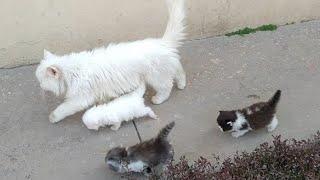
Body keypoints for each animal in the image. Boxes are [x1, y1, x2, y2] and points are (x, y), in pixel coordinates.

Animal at [35, 0, 186, 123]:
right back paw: (182, 84)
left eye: (41, 80)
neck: (72, 71)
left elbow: (63, 108)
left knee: (167, 86)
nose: (40, 86)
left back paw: (159, 99)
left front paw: (53, 117)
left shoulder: (80, 98)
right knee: (179, 72)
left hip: (156, 77)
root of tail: (162, 42)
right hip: (166, 68)